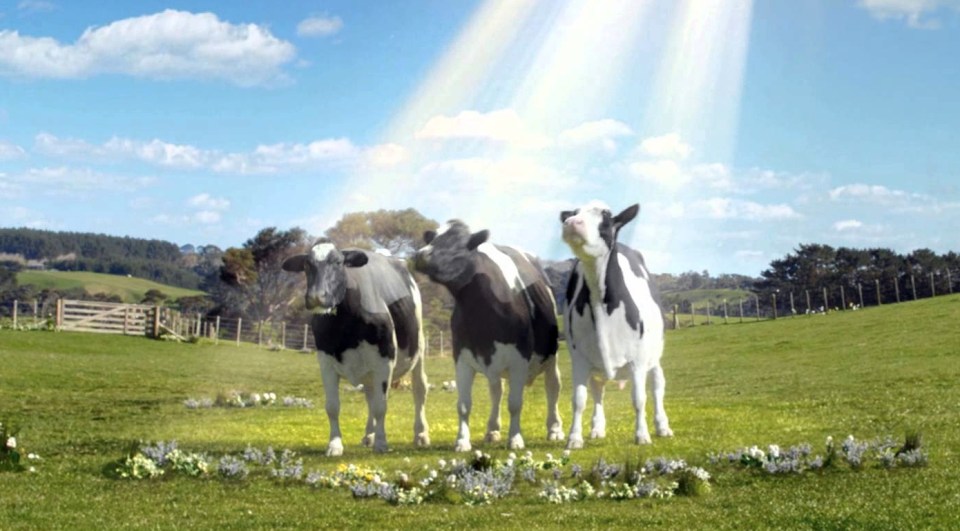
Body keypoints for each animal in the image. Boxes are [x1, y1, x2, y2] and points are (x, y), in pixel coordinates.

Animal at [282, 239, 429, 456]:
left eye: (338, 262)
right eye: (307, 265)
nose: (316, 296)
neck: (347, 330)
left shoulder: (384, 360)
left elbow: (381, 406)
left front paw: (382, 443)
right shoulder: (326, 362)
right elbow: (333, 406)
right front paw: (335, 444)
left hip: (418, 349)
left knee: (419, 389)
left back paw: (420, 434)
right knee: (370, 395)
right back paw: (369, 435)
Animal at [413, 220, 563, 452]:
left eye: (456, 242)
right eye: (432, 238)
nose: (420, 255)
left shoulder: (519, 359)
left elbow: (515, 403)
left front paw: (515, 439)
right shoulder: (462, 358)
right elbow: (463, 405)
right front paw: (462, 441)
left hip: (552, 356)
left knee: (553, 386)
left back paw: (554, 429)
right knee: (496, 390)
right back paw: (492, 430)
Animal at [559, 201, 673, 449]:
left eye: (606, 216)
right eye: (574, 213)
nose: (571, 222)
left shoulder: (638, 359)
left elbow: (639, 398)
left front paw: (642, 435)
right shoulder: (579, 357)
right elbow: (578, 399)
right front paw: (574, 438)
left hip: (655, 355)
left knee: (658, 385)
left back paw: (662, 426)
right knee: (598, 390)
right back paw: (597, 428)